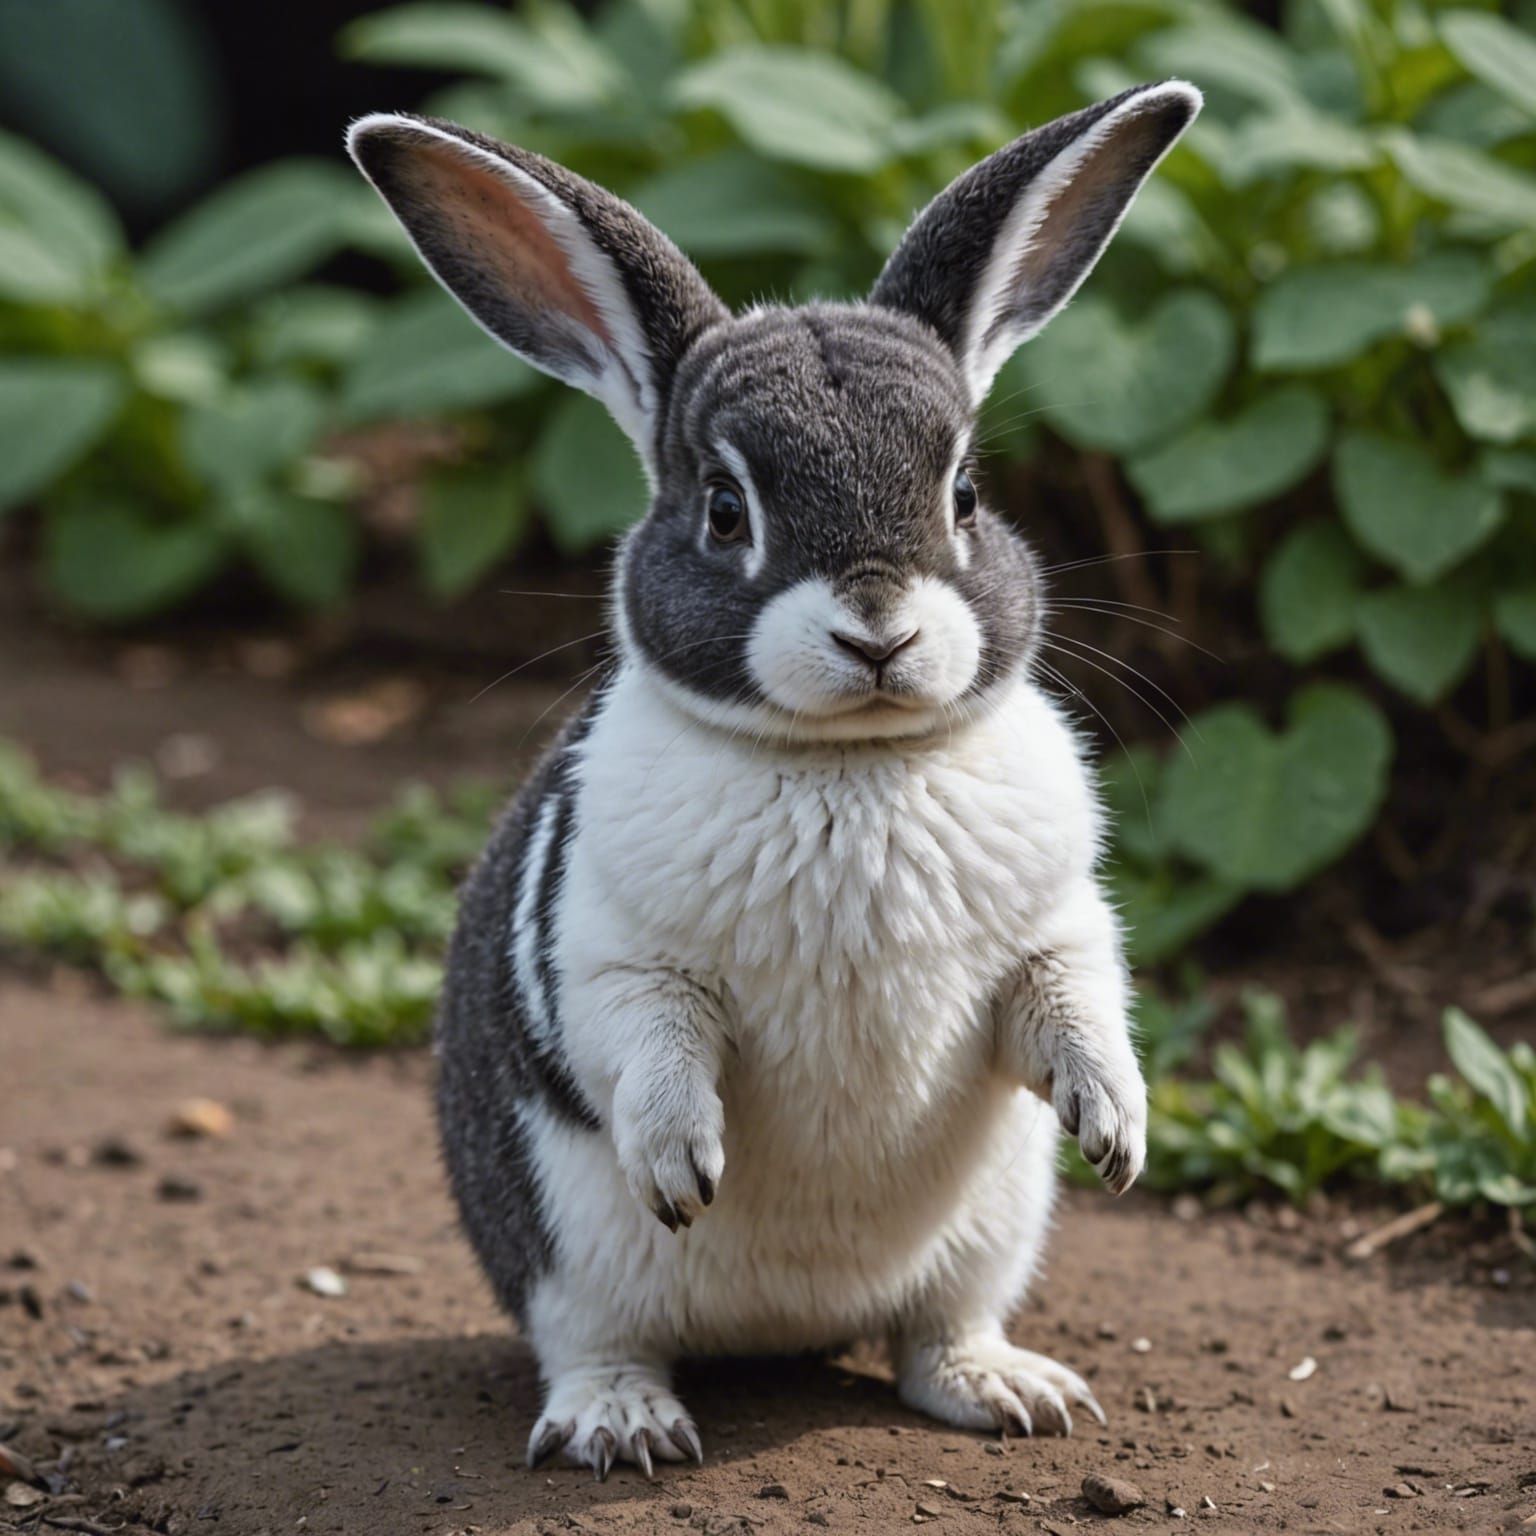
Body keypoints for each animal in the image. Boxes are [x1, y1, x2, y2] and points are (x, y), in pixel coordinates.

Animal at [348, 77, 1201, 1479]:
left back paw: (1011, 1390)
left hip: (992, 1232)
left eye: (967, 493)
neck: (850, 765)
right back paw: (626, 1426)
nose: (878, 631)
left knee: (935, 1332)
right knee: (595, 1343)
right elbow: (650, 1052)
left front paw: (1119, 1132)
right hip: (566, 1258)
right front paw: (687, 1167)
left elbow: (1079, 1005)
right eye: (724, 508)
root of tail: (791, 1331)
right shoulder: (620, 961)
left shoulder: (1055, 929)